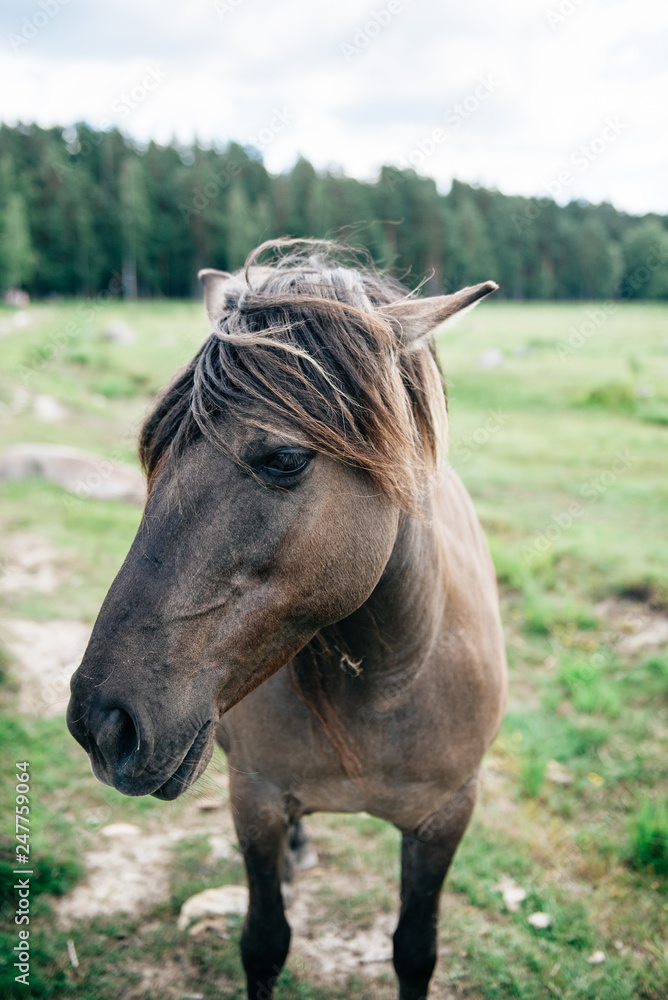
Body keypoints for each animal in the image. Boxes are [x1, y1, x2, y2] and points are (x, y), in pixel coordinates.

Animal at [67, 239, 507, 1000]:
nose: (103, 724)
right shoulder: (256, 797)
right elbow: (264, 941)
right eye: (154, 451)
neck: (387, 682)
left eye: (284, 457)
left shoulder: (447, 817)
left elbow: (415, 950)